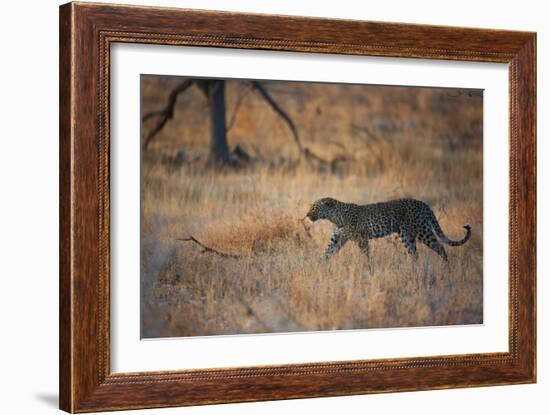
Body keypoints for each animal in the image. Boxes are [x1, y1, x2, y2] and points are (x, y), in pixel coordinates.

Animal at [306, 197, 474, 262]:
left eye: (314, 207)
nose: (307, 215)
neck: (335, 217)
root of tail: (423, 204)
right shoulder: (337, 239)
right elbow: (326, 253)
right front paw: (319, 266)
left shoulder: (362, 238)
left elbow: (366, 255)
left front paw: (368, 268)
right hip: (407, 235)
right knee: (414, 254)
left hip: (422, 230)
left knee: (440, 247)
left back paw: (447, 267)